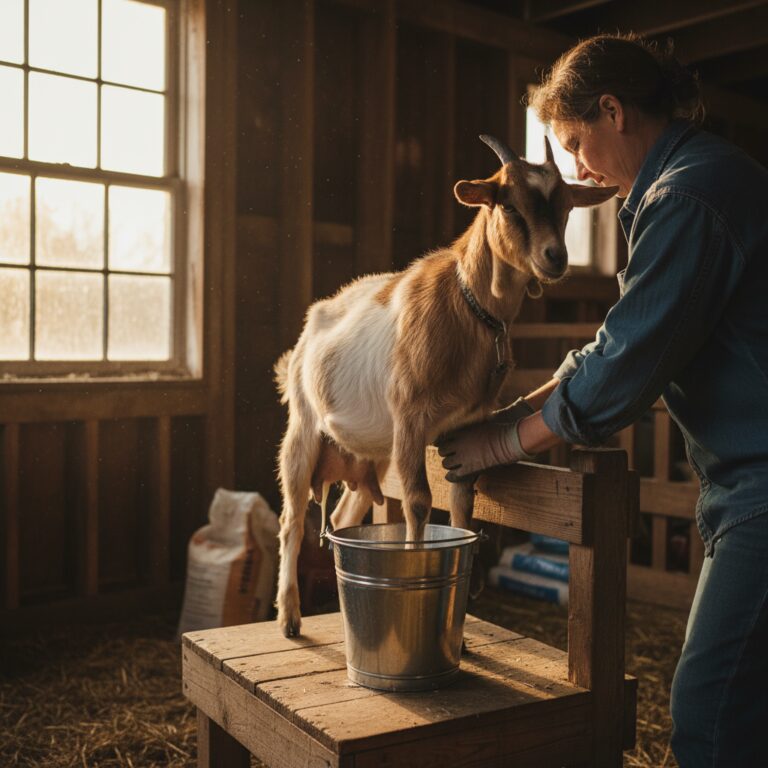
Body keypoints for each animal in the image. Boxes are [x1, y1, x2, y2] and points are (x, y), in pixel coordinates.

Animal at [274, 135, 617, 637]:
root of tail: (306, 330)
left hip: (373, 455)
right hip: (302, 430)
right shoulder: (410, 419)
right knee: (292, 519)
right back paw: (289, 616)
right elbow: (419, 503)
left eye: (567, 206)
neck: (470, 309)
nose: (555, 257)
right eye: (508, 205)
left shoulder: (464, 430)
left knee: (340, 517)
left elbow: (461, 504)